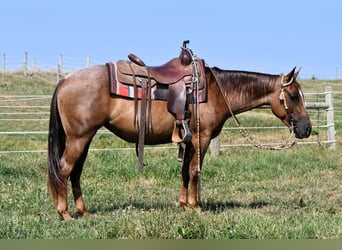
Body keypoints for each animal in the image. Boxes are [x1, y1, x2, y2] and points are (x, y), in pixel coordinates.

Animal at [46, 51, 312, 220]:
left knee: (75, 172)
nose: (306, 129)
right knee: (64, 169)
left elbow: (185, 171)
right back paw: (64, 213)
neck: (218, 91)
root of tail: (65, 80)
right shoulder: (202, 138)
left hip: (85, 138)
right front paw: (196, 206)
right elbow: (195, 171)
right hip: (79, 138)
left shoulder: (189, 139)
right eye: (294, 96)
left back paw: (83, 211)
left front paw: (184, 204)